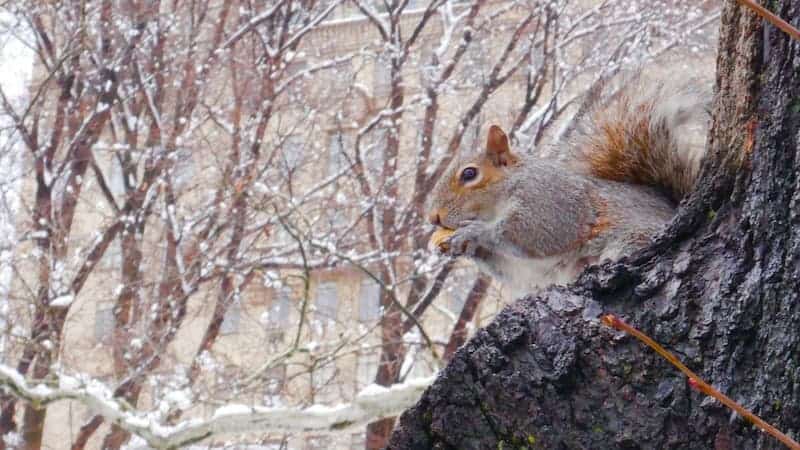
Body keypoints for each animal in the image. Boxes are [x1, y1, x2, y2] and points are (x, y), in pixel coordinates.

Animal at [428, 77, 708, 296]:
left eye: (470, 173)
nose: (433, 218)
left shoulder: (550, 198)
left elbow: (531, 232)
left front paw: (474, 233)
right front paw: (466, 248)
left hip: (633, 237)